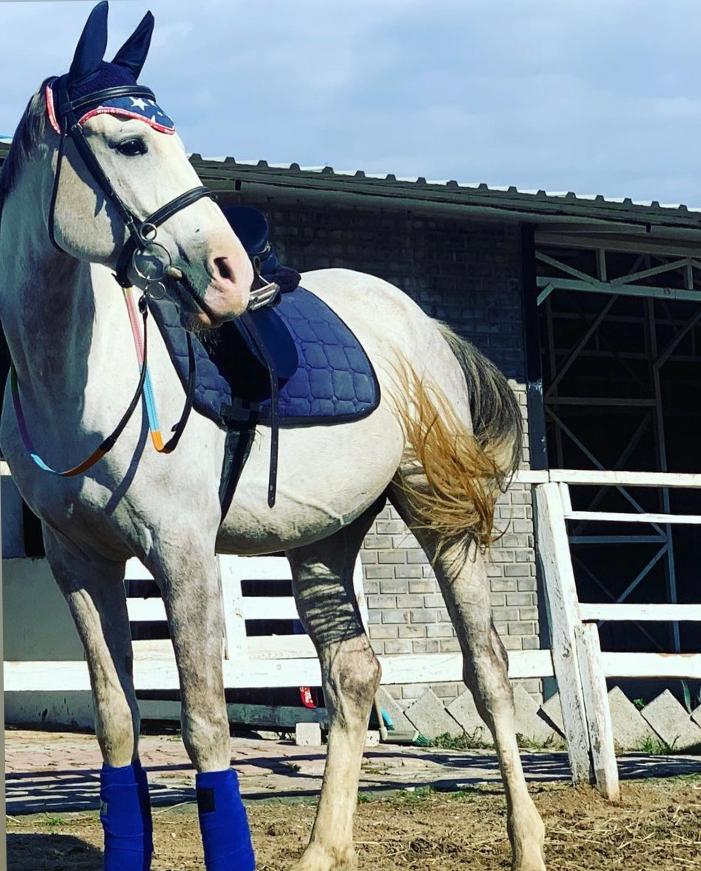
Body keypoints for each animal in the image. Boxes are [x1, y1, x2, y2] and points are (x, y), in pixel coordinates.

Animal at [0, 4, 546, 870]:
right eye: (129, 143)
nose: (226, 273)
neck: (80, 381)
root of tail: (418, 323)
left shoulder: (183, 555)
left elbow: (204, 728)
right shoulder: (78, 561)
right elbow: (118, 724)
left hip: (438, 518)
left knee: (488, 670)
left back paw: (526, 841)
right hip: (324, 535)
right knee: (352, 671)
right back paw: (324, 848)